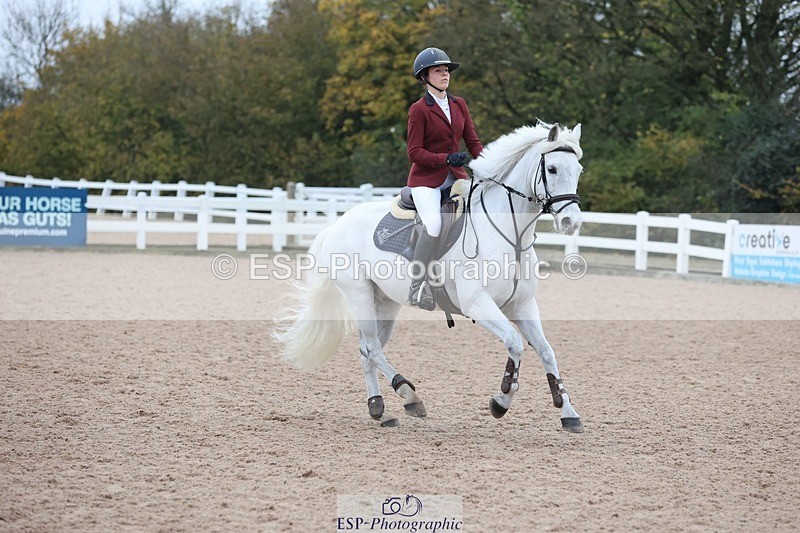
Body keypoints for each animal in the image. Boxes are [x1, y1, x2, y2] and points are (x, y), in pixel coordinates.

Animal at [273, 121, 585, 432]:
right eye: (552, 169)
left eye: (579, 170)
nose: (572, 222)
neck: (511, 236)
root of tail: (337, 223)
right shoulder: (478, 305)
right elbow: (515, 343)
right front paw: (501, 401)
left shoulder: (523, 306)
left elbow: (546, 351)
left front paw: (568, 412)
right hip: (358, 294)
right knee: (372, 347)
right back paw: (409, 395)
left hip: (385, 302)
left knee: (366, 349)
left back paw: (380, 410)